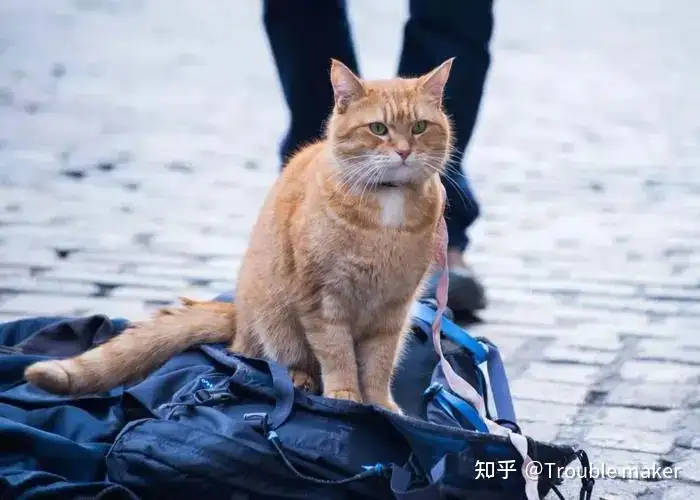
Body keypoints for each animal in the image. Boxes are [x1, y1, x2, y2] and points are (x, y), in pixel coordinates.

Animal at [23, 57, 454, 410]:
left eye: (419, 127)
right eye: (378, 128)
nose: (403, 151)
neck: (388, 209)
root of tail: (238, 313)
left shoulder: (393, 309)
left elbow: (379, 363)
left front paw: (378, 405)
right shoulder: (322, 299)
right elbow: (338, 354)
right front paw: (345, 394)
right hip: (274, 318)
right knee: (266, 355)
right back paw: (298, 378)